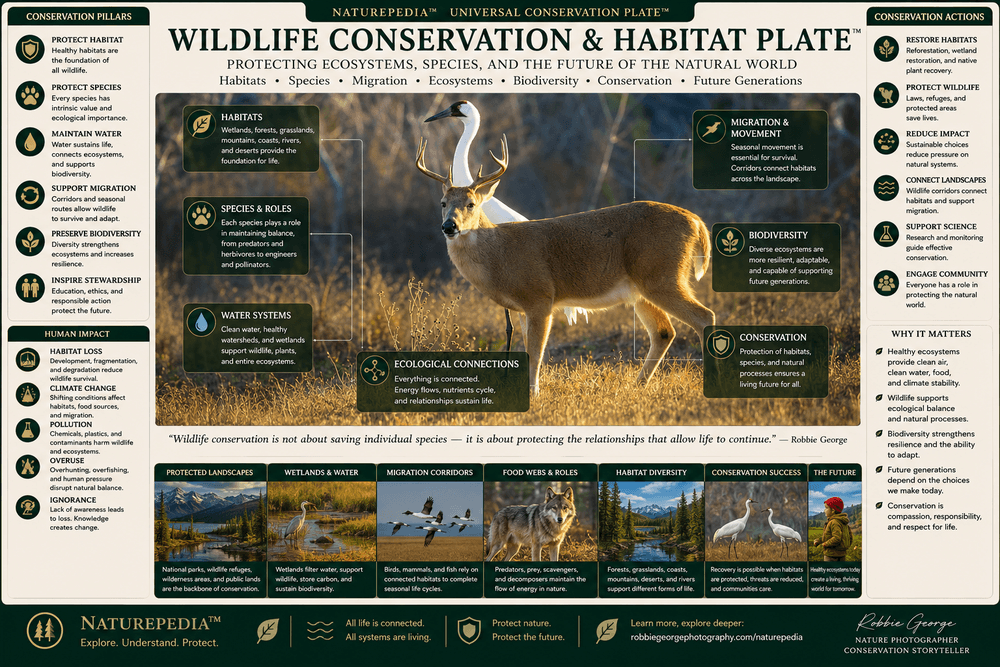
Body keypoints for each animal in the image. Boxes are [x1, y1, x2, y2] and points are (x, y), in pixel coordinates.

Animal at [415, 135, 715, 395]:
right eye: (443, 203)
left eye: (471, 203)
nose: (449, 226)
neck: (500, 255)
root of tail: (696, 221)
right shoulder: (522, 307)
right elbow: (526, 347)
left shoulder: (540, 296)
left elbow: (535, 351)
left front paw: (533, 393)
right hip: (641, 289)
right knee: (664, 332)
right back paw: (637, 386)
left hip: (662, 275)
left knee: (704, 316)